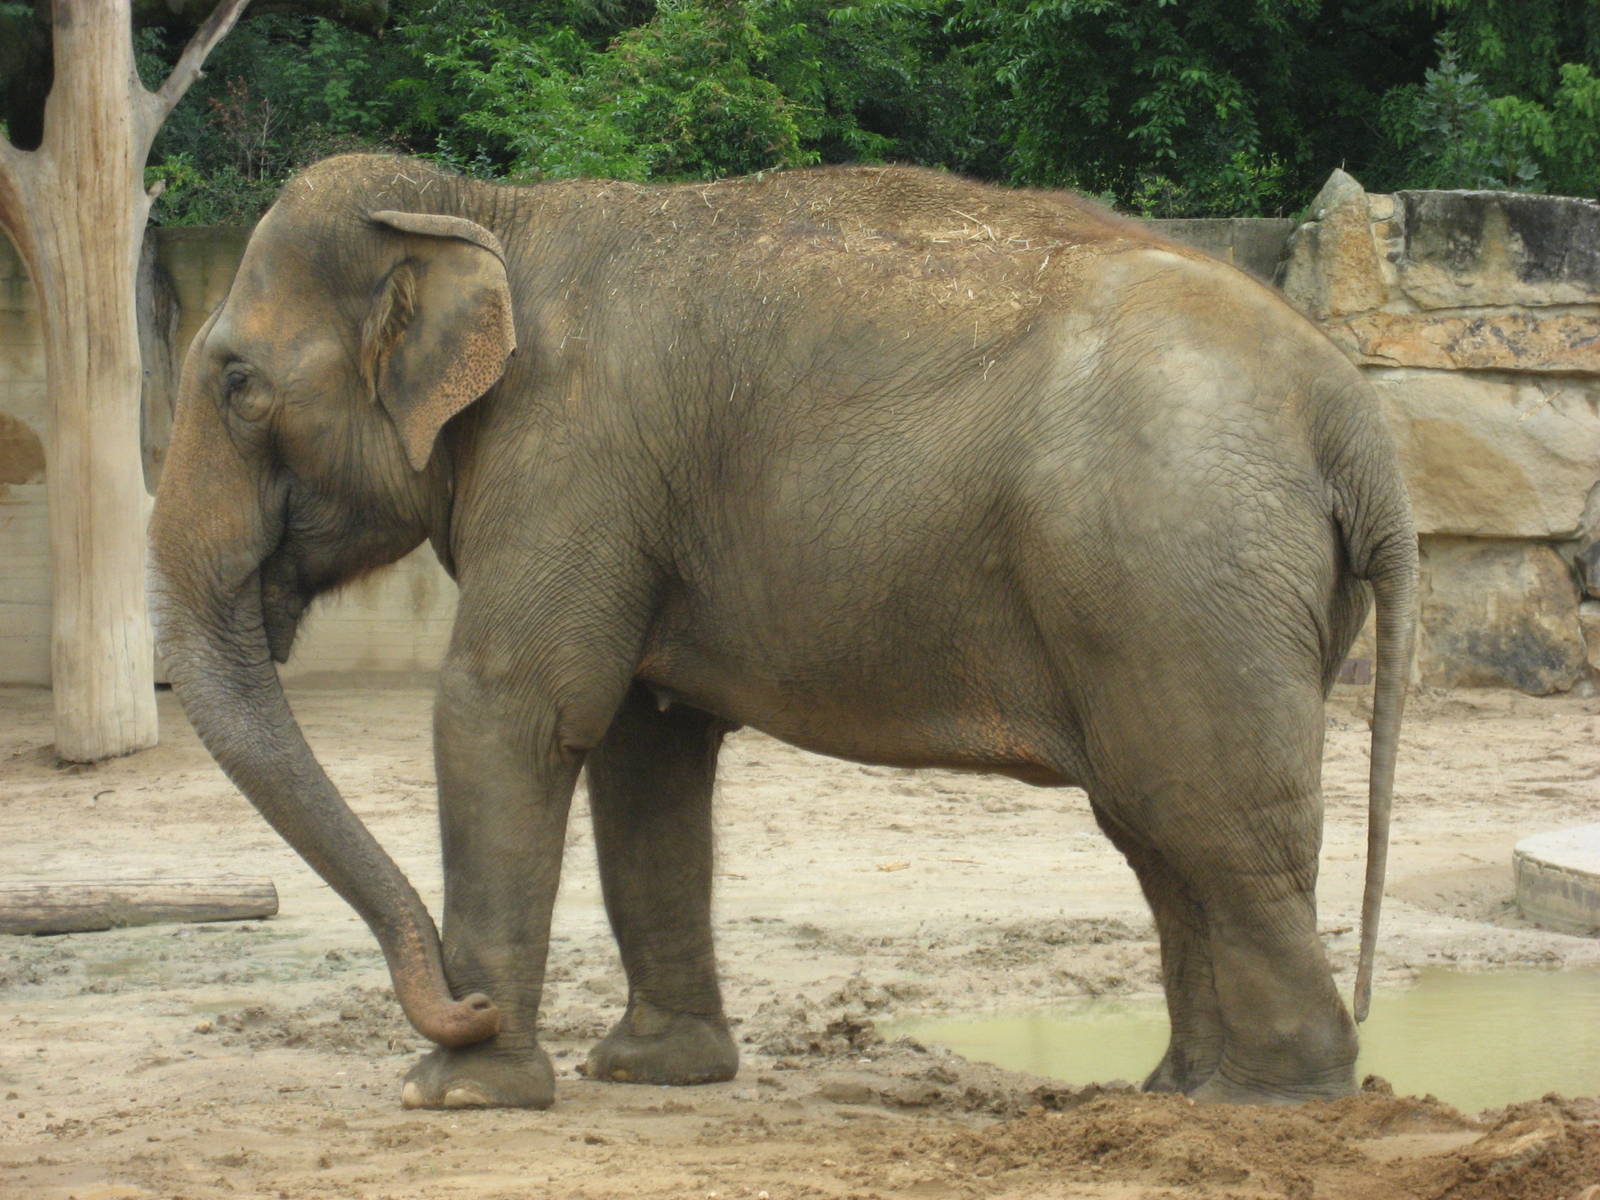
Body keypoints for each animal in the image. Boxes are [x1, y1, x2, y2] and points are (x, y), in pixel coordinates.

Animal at [148, 153, 1417, 1110]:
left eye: (239, 387)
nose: (463, 1002)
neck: (488, 208)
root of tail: (1352, 410)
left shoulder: (575, 455)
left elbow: (511, 708)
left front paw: (456, 1092)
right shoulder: (623, 495)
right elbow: (644, 747)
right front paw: (652, 1074)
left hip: (1182, 569)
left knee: (1208, 818)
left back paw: (1269, 1101)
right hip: (1190, 590)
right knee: (1159, 829)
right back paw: (1175, 1094)